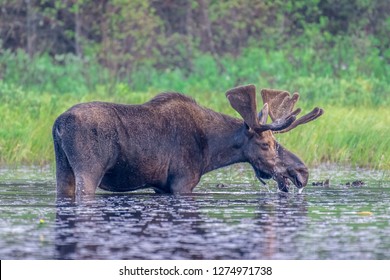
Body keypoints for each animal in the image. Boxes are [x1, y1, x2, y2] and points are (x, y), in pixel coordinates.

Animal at [54, 85, 322, 197]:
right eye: (266, 144)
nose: (302, 171)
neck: (211, 152)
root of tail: (58, 124)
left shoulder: (161, 186)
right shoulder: (182, 182)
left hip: (63, 168)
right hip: (89, 170)